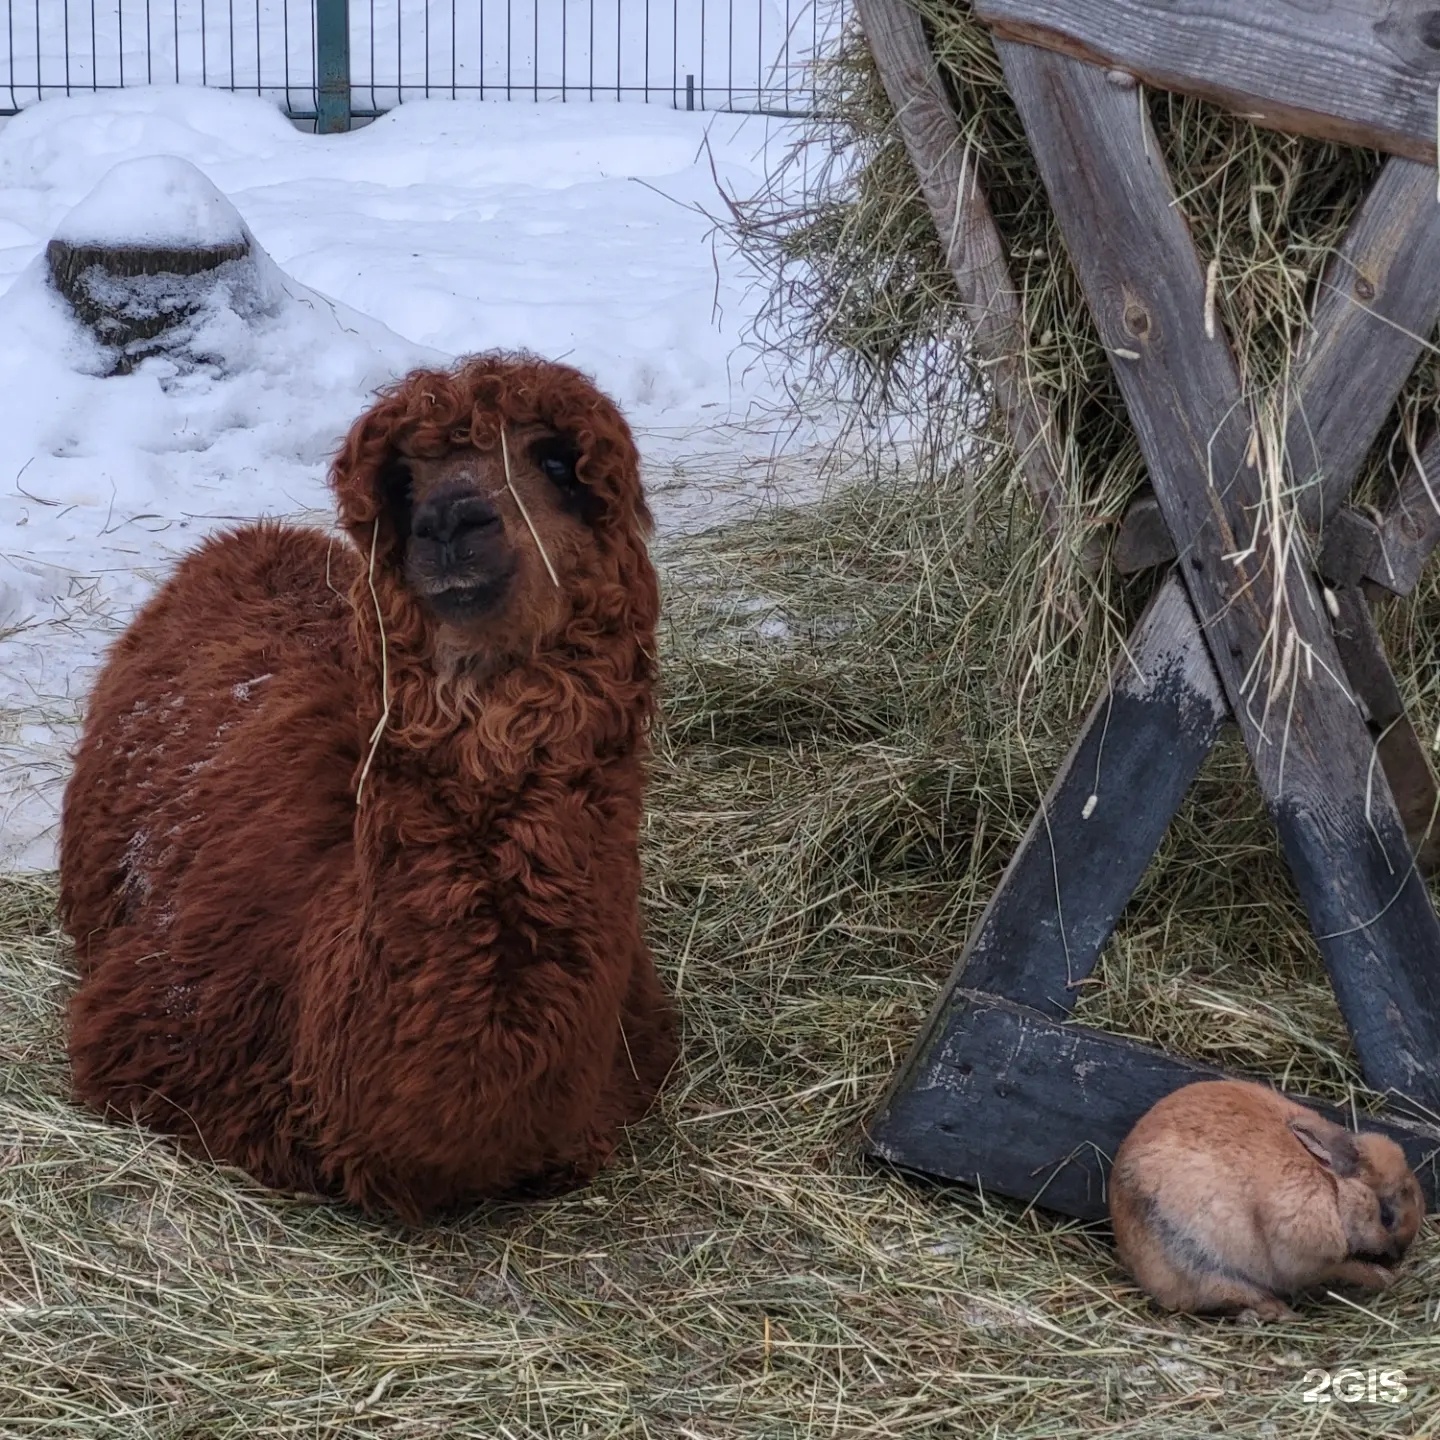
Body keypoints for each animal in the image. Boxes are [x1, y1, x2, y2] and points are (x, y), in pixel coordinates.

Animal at [1105, 1077, 1422, 1319]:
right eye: (1386, 1217)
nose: (1399, 1257)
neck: (1332, 1186)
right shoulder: (1307, 1254)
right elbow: (1347, 1266)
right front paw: (1384, 1278)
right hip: (1197, 1261)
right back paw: (1283, 1313)